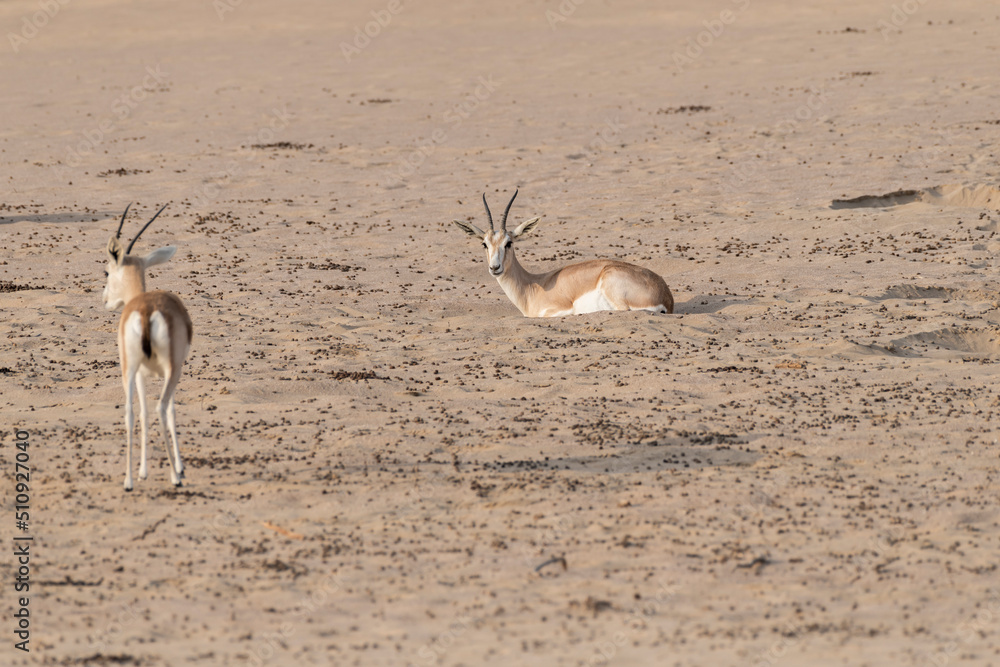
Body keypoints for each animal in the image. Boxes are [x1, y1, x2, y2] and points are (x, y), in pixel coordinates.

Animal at [102, 203, 192, 491]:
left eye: (106, 271)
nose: (105, 299)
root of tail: (145, 310)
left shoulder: (141, 373)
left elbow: (141, 413)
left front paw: (142, 472)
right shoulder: (174, 370)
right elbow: (172, 411)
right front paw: (179, 467)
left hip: (128, 369)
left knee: (131, 413)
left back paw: (129, 481)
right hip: (171, 369)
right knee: (162, 408)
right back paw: (175, 478)